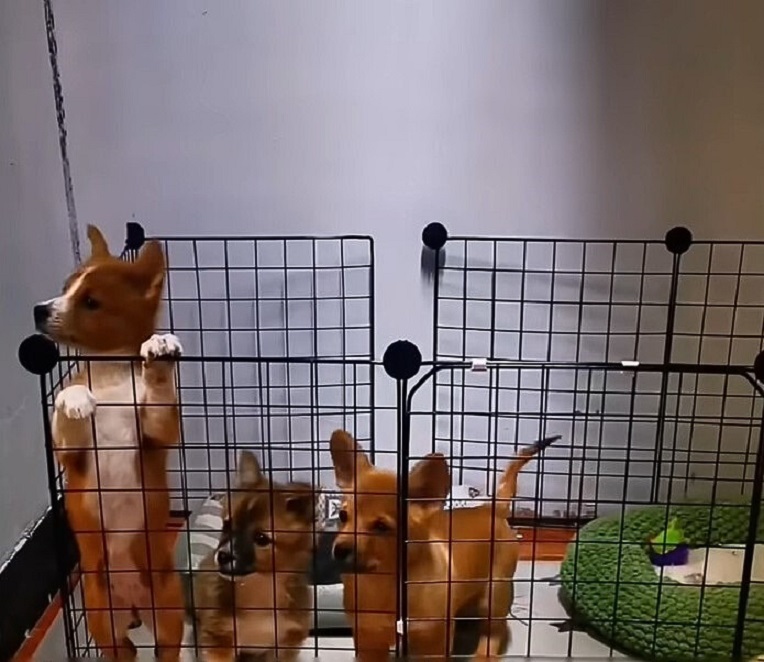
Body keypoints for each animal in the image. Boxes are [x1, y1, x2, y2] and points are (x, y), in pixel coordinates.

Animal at [35, 226, 185, 660]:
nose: (38, 310)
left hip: (167, 615)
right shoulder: (71, 454)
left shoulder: (157, 430)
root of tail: (133, 605)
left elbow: (159, 396)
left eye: (91, 302)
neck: (110, 372)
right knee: (121, 651)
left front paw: (158, 350)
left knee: (165, 649)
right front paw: (74, 399)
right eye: (65, 288)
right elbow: (66, 412)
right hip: (104, 620)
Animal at [192, 454, 320, 660]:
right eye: (227, 525)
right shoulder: (218, 639)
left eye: (261, 538)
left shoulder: (285, 645)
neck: (259, 589)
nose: (223, 555)